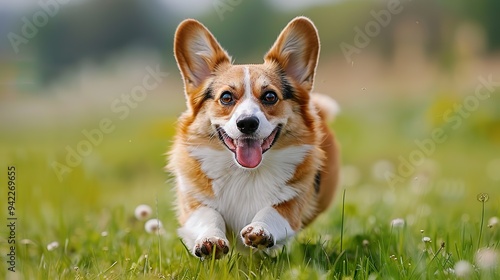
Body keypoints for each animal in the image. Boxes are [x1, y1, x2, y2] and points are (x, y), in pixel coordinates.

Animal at [168, 16, 340, 260]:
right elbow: (209, 216)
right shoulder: (193, 203)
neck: (245, 174)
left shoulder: (293, 204)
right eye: (226, 97)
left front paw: (261, 230)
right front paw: (211, 240)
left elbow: (271, 212)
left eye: (270, 96)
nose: (247, 123)